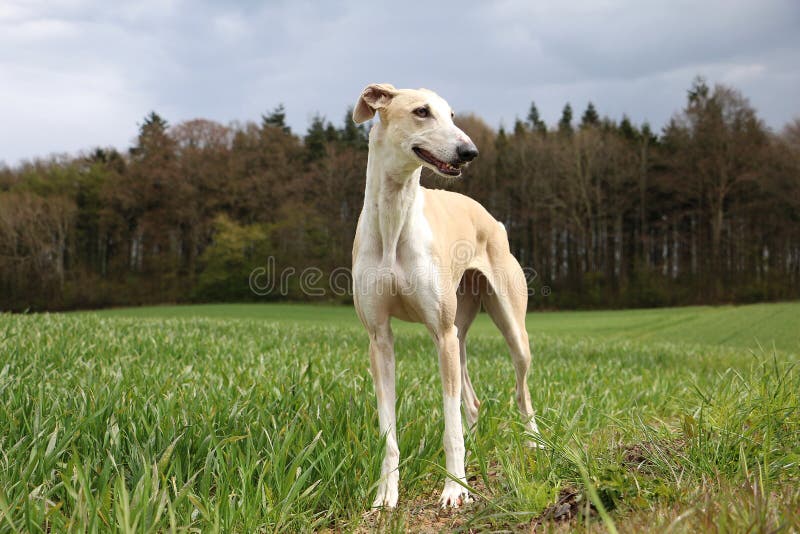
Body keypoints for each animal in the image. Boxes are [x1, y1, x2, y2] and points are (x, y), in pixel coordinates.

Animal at [354, 84, 540, 510]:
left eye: (452, 114)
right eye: (422, 112)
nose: (469, 151)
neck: (394, 220)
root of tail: (493, 219)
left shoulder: (441, 333)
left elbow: (449, 423)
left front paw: (456, 488)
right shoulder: (379, 339)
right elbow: (388, 430)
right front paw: (386, 494)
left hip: (507, 328)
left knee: (522, 391)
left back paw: (534, 443)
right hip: (460, 332)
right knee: (471, 400)